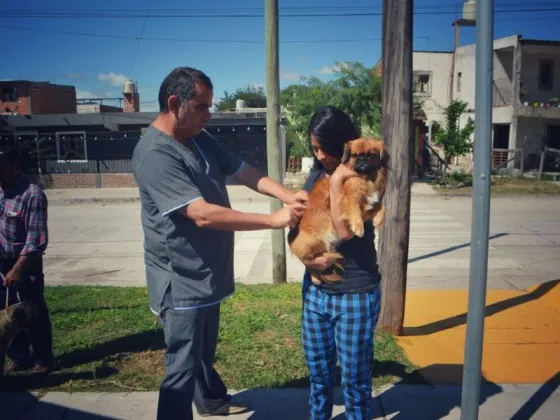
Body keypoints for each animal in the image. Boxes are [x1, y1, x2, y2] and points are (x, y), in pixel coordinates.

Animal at [286, 139, 388, 284]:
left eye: (371, 155)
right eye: (355, 155)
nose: (362, 159)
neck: (366, 178)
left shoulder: (368, 204)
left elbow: (381, 206)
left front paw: (379, 219)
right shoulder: (347, 198)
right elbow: (354, 210)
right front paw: (358, 227)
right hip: (314, 240)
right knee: (310, 261)